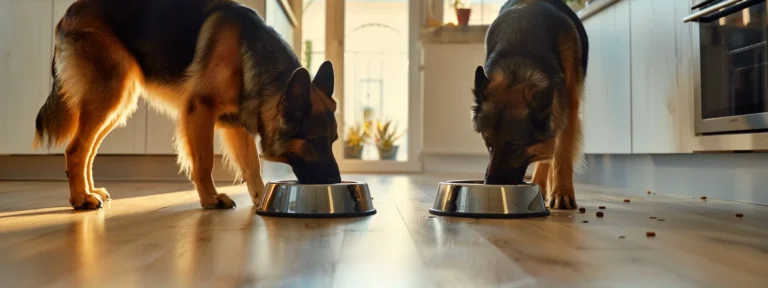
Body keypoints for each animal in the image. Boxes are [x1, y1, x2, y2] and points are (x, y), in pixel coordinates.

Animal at [33, 0, 340, 212]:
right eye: (315, 141)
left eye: (334, 140)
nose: (337, 180)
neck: (249, 50)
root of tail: (70, 11)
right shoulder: (199, 110)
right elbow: (203, 162)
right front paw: (211, 198)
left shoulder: (237, 126)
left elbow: (252, 166)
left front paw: (260, 197)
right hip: (109, 95)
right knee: (76, 148)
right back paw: (80, 198)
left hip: (116, 102)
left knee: (88, 150)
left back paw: (91, 191)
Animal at [474, 1, 588, 210]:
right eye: (488, 143)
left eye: (515, 146)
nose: (491, 185)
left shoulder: (569, 107)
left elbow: (561, 154)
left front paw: (562, 192)